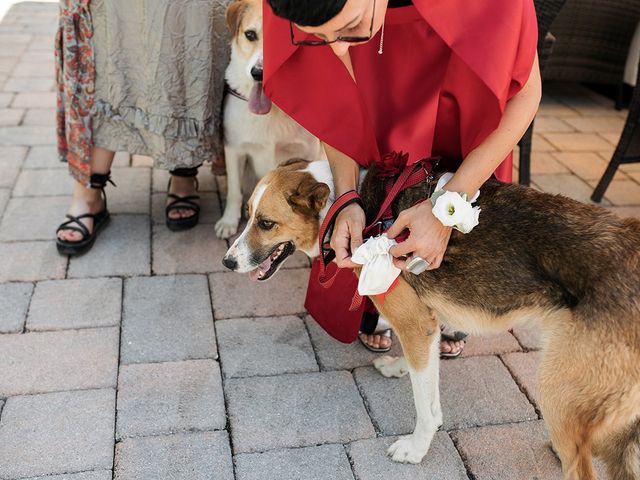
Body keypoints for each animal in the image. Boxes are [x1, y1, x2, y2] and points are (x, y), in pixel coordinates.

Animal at [216, 0, 324, 239]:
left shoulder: (309, 151)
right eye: (250, 34)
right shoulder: (234, 148)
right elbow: (234, 191)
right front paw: (229, 221)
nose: (259, 73)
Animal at [224, 158, 640, 480]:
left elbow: (426, 407)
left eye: (266, 223)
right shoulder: (426, 325)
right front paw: (399, 367)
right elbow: (426, 374)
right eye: (247, 215)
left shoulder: (415, 324)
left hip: (557, 389)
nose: (227, 262)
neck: (353, 210)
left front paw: (417, 449)